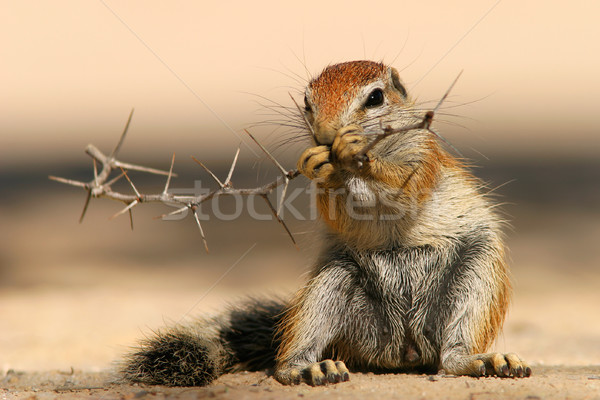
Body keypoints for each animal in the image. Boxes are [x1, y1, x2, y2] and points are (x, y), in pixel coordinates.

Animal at [120, 60, 528, 388]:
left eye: (375, 98)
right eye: (306, 102)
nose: (327, 136)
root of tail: (405, 351)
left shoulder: (422, 159)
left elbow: (402, 187)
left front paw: (355, 155)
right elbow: (336, 206)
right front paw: (320, 164)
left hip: (478, 274)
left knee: (452, 355)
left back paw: (484, 361)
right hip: (332, 281)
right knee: (295, 352)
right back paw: (309, 368)